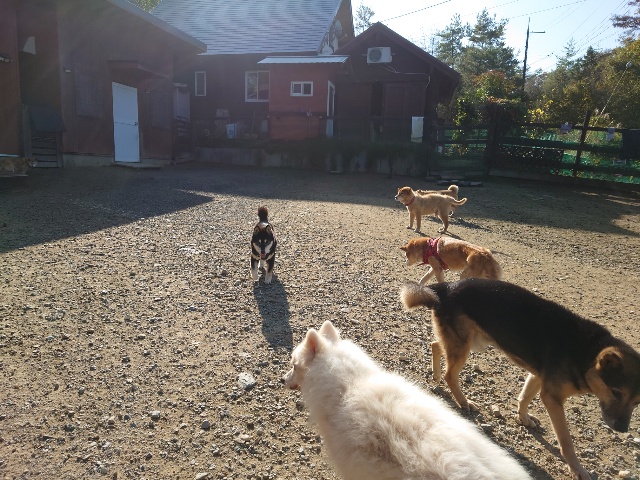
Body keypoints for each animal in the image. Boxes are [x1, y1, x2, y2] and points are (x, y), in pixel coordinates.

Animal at [400, 278, 640, 480]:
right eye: (616, 393)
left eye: (637, 402)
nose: (622, 429)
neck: (587, 352)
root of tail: (447, 286)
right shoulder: (552, 397)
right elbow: (566, 440)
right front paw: (577, 468)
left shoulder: (538, 376)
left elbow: (525, 397)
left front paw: (523, 418)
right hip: (466, 345)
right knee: (450, 373)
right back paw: (463, 401)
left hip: (469, 341)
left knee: (435, 345)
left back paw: (436, 374)